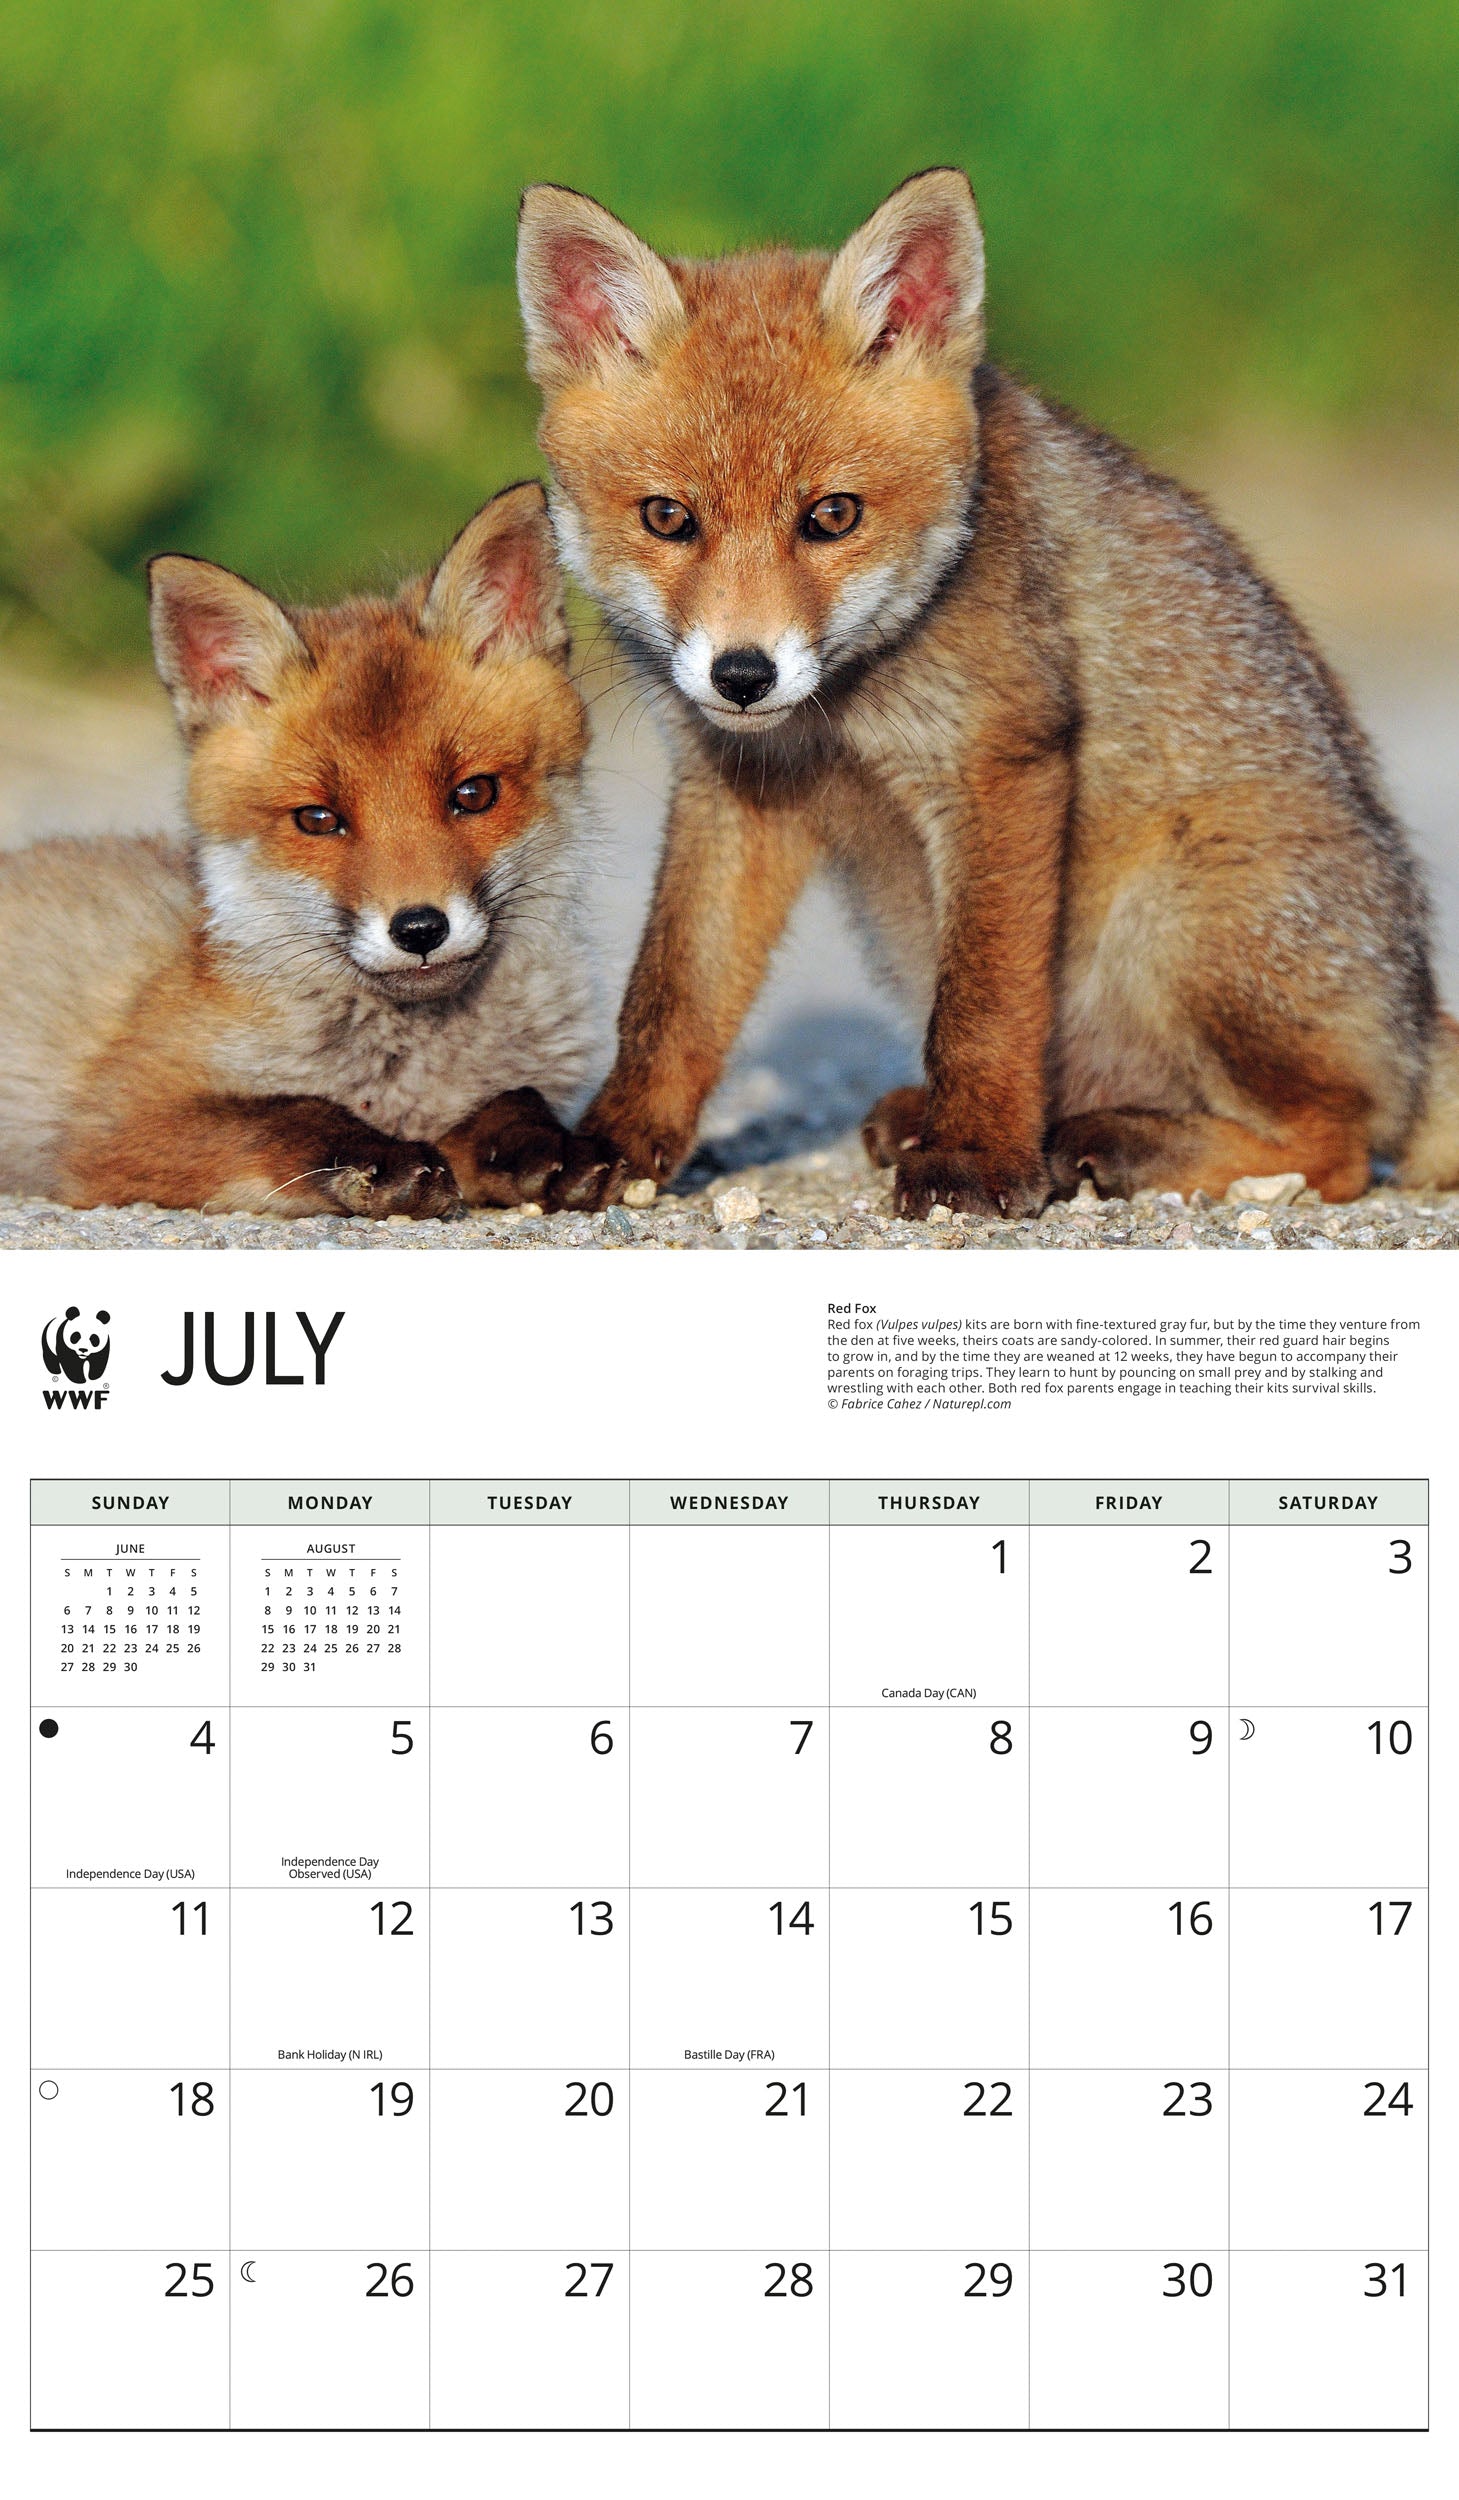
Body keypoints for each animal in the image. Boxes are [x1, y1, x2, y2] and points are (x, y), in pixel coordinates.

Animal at [0, 482, 618, 1219]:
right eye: (319, 819)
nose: (419, 929)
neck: (412, 1071)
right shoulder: (114, 1127)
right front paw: (377, 1158)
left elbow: (509, 1100)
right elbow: (290, 1112)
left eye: (473, 794)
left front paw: (539, 1144)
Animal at [515, 168, 1459, 1217]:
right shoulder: (733, 789)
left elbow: (982, 1006)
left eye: (831, 516)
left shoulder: (1000, 759)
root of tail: (1415, 1016)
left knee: (1338, 1147)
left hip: (1177, 917)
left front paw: (971, 1156)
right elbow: (670, 999)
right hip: (912, 924)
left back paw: (1113, 1143)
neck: (838, 718)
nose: (743, 673)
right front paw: (616, 1142)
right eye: (668, 518)